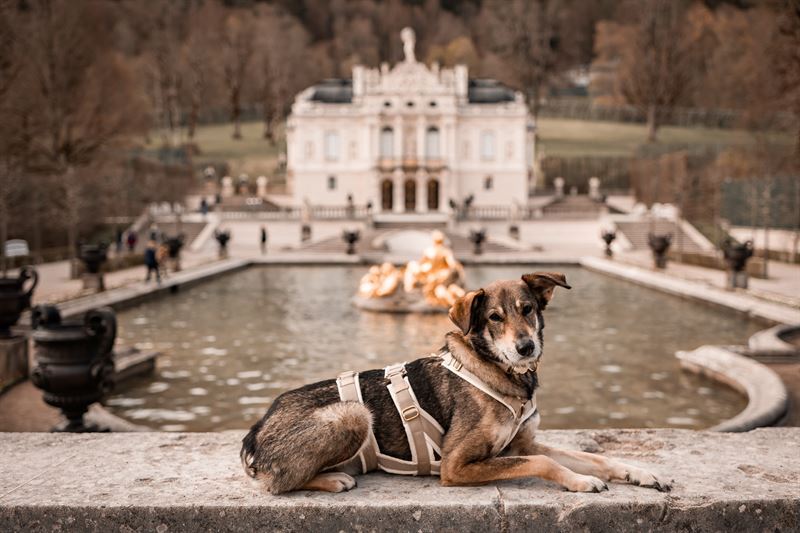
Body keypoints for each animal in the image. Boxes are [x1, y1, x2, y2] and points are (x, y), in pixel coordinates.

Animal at [241, 272, 672, 492]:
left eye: (528, 309)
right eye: (494, 317)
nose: (526, 347)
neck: (503, 375)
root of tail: (256, 430)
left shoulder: (521, 442)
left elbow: (591, 457)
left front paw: (639, 473)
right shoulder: (456, 464)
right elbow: (544, 462)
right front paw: (580, 482)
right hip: (352, 414)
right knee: (276, 484)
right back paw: (334, 479)